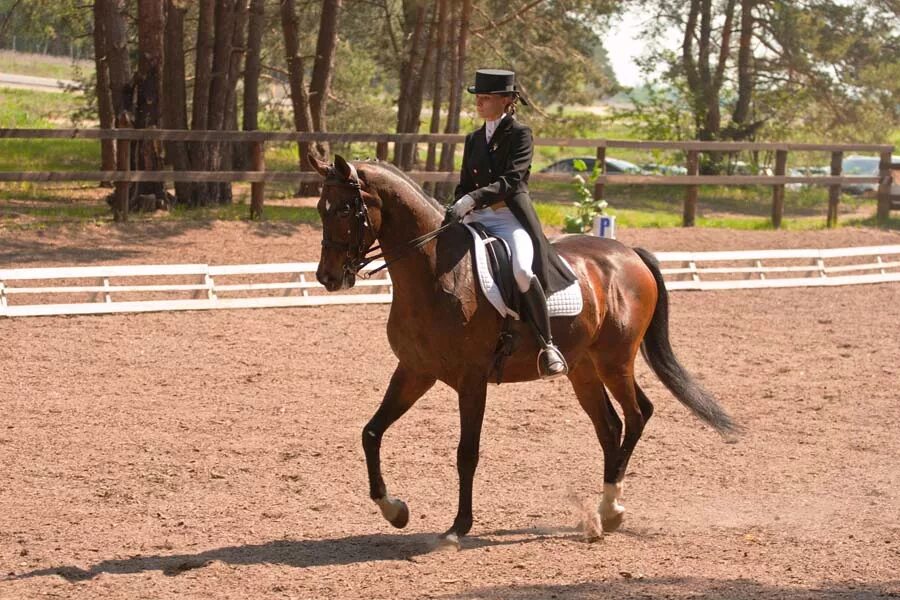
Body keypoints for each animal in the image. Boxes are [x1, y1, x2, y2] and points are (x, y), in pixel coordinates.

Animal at [310, 156, 740, 548]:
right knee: (610, 426)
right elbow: (371, 432)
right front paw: (395, 510)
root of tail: (630, 254)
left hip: (615, 360)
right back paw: (604, 512)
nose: (327, 278)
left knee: (637, 415)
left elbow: (467, 453)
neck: (437, 272)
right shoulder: (415, 371)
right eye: (320, 208)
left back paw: (612, 509)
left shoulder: (472, 380)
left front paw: (457, 528)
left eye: (346, 209)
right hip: (583, 368)